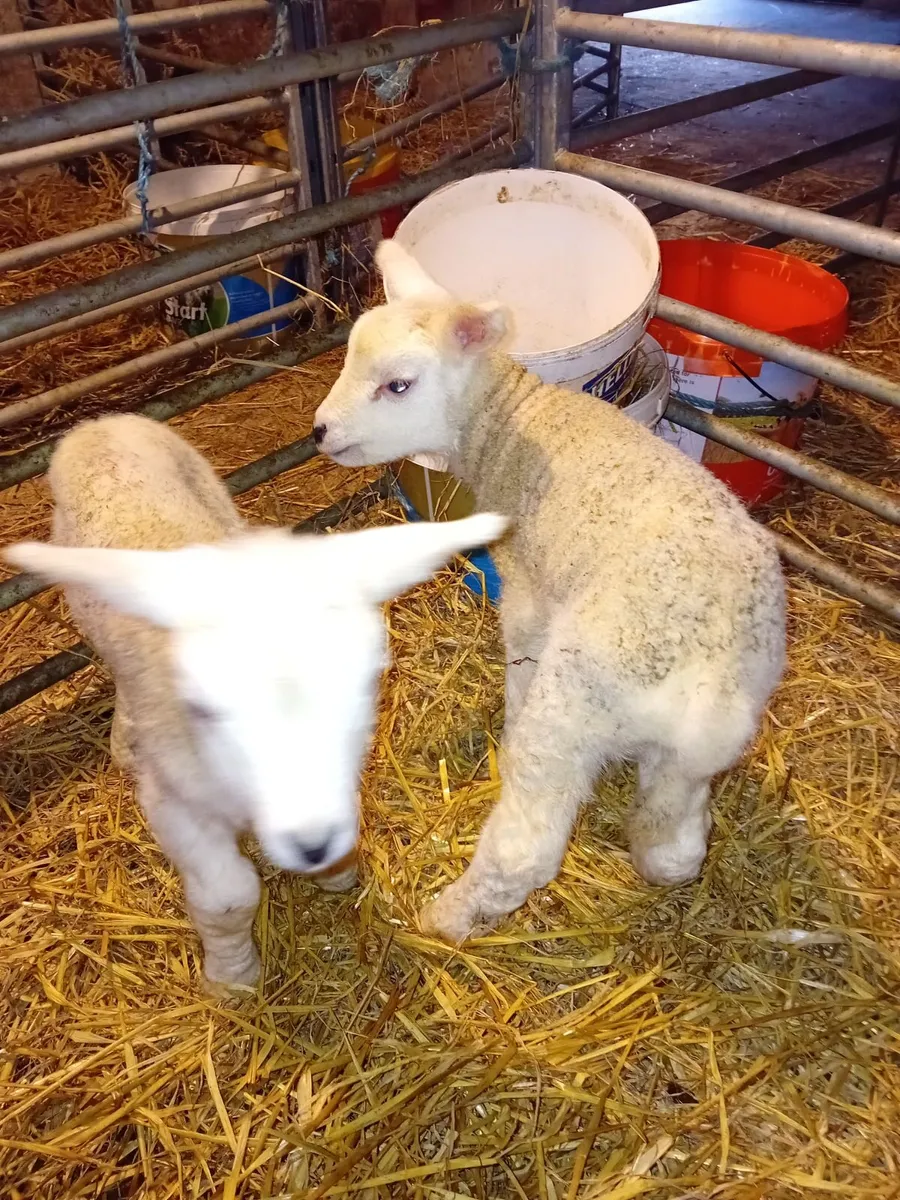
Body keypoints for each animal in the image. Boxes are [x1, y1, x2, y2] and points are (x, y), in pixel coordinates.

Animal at [6, 414, 506, 989]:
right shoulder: (174, 803)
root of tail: (102, 422)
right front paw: (232, 977)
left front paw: (337, 872)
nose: (313, 843)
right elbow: (227, 899)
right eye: (205, 709)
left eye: (365, 683)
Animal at [312, 239, 787, 945]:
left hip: (573, 708)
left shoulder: (528, 592)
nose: (319, 431)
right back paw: (661, 852)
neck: (509, 421)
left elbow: (518, 660)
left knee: (525, 847)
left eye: (398, 385)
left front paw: (506, 723)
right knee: (676, 839)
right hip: (693, 751)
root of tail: (714, 674)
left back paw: (446, 916)